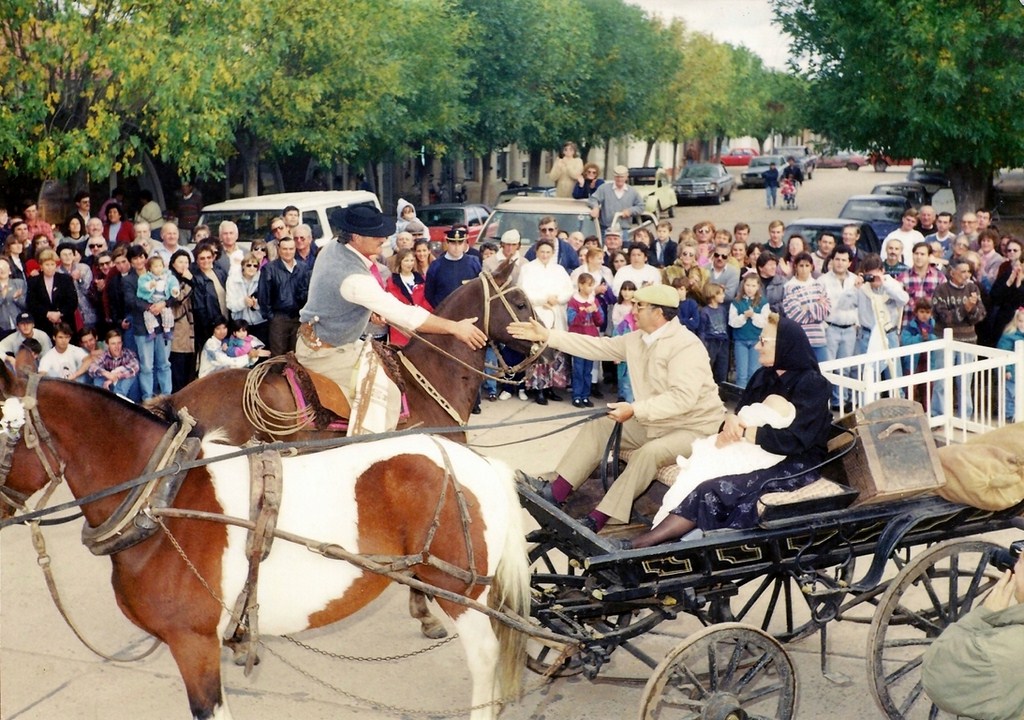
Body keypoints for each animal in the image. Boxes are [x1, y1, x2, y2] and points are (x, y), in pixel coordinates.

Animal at [0, 380, 528, 716]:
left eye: (3, 432)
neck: (163, 499)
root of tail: (478, 463)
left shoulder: (193, 643)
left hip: (462, 592)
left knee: (484, 659)